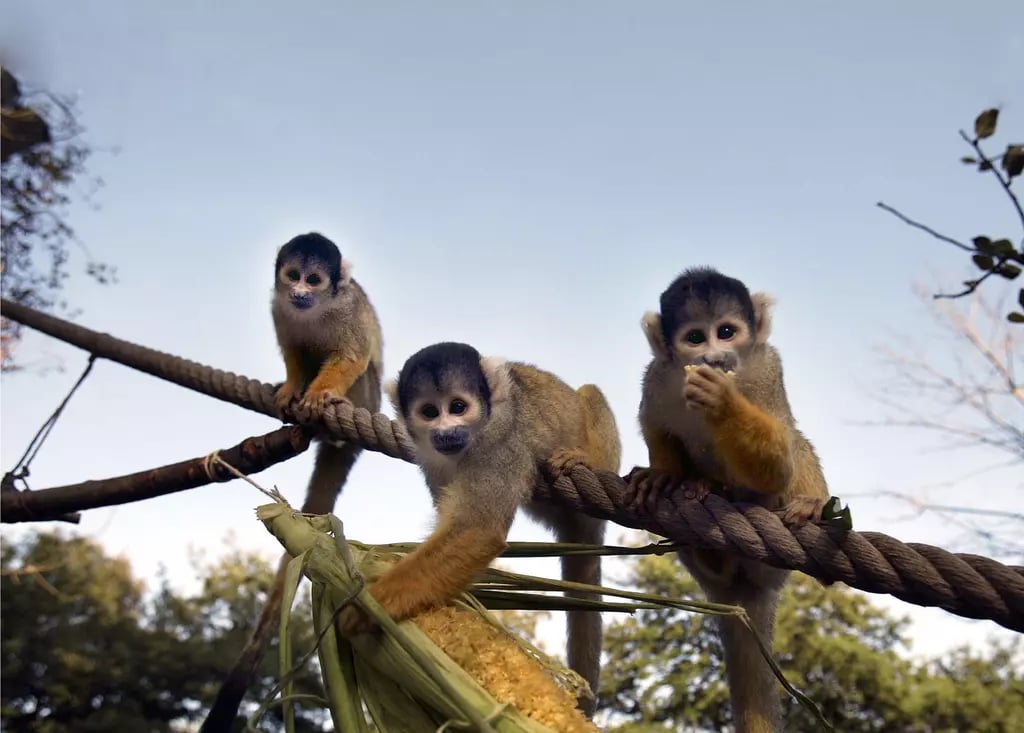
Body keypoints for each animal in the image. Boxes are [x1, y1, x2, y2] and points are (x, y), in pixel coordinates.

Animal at [340, 342, 622, 716]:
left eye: (458, 407)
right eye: (430, 412)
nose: (445, 431)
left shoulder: (500, 446)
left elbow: (478, 530)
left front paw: (370, 603)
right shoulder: (431, 458)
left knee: (591, 394)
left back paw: (584, 459)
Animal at [635, 267, 829, 733]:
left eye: (726, 332)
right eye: (695, 338)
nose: (714, 358)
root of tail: (742, 593)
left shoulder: (767, 367)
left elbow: (778, 462)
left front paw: (722, 402)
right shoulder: (658, 375)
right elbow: (653, 423)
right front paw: (664, 475)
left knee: (793, 445)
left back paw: (807, 504)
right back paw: (703, 506)